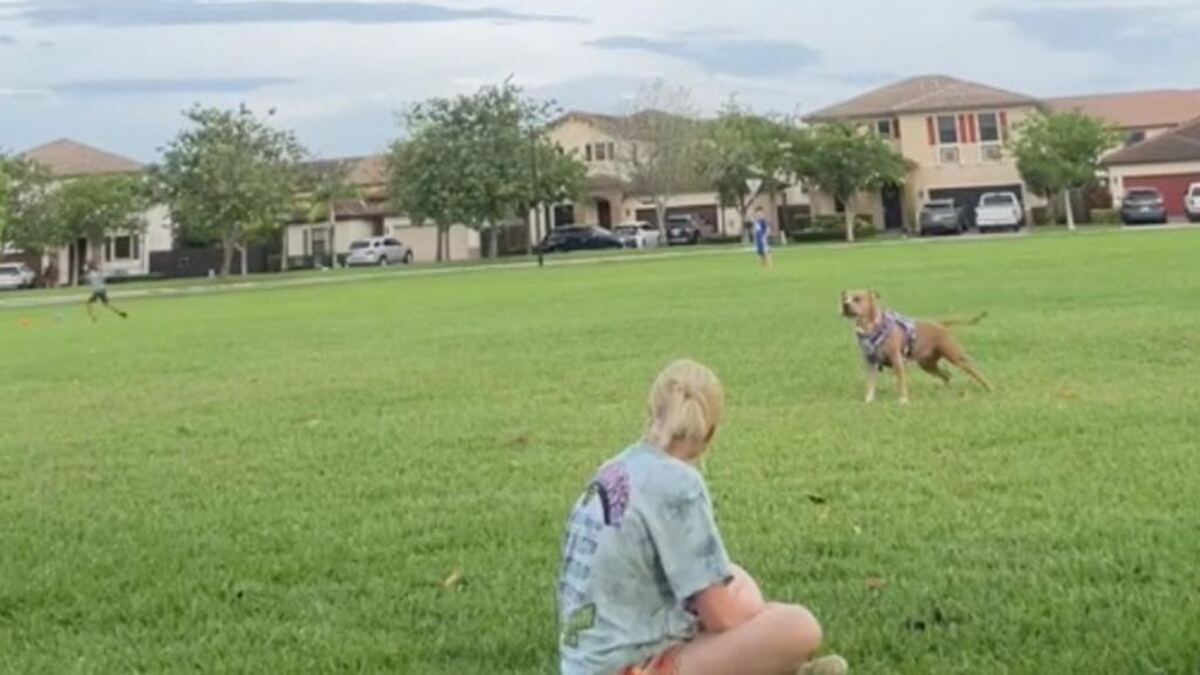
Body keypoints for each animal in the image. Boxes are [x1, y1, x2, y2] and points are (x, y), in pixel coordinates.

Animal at [840, 288, 988, 401]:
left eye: (857, 298)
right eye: (844, 298)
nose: (845, 305)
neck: (872, 328)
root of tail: (940, 323)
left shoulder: (897, 361)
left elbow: (901, 383)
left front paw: (903, 401)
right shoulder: (871, 363)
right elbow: (870, 384)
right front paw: (868, 401)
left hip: (955, 356)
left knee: (977, 372)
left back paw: (989, 388)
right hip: (927, 364)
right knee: (947, 375)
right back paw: (948, 391)